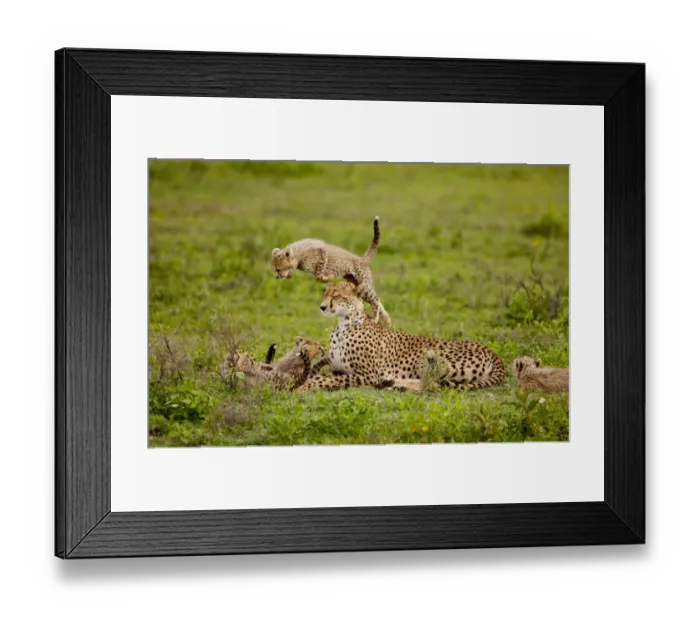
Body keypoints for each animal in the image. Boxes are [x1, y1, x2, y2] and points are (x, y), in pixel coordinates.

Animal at [298, 283, 506, 393]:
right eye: (325, 293)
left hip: (427, 356)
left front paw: (303, 386)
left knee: (431, 384)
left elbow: (327, 380)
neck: (344, 323)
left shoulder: (367, 374)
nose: (322, 307)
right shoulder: (339, 369)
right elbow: (324, 375)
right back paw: (391, 384)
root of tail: (491, 351)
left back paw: (393, 384)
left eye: (336, 295)